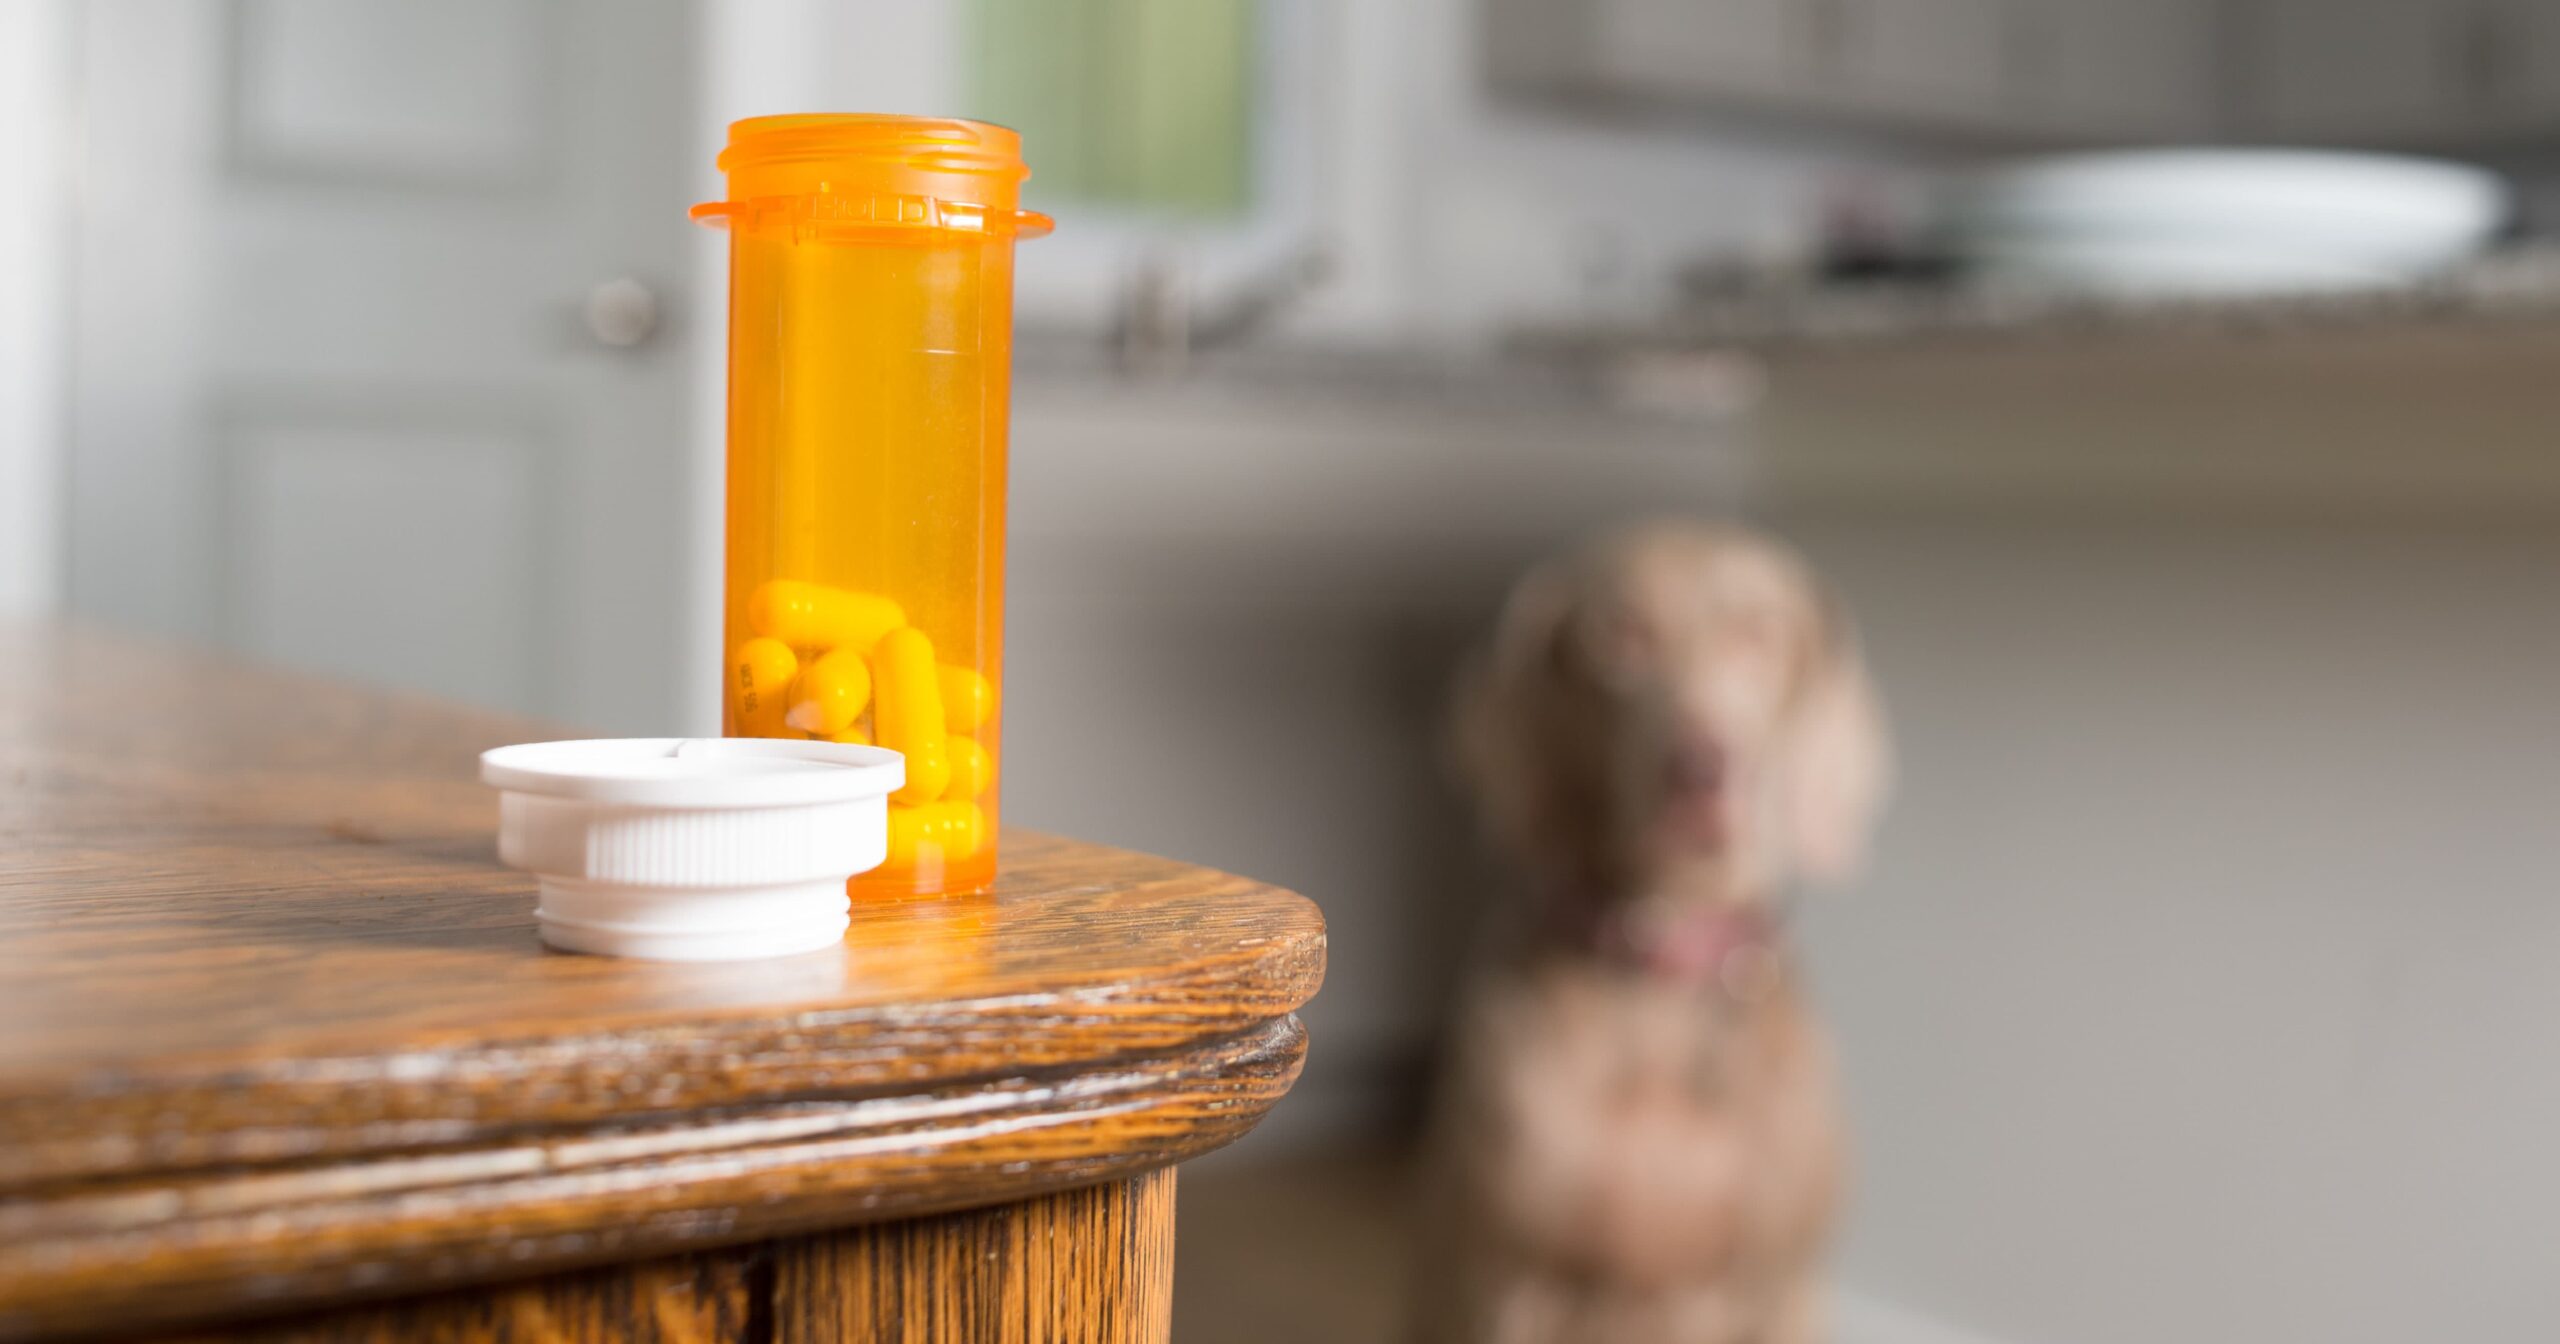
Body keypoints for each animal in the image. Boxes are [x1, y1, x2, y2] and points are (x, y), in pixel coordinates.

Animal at [1423, 522, 1884, 1341]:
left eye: (1760, 632)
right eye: (1619, 635)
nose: (1699, 771)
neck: (1664, 958)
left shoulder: (1786, 1285)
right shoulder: (1507, 1280)